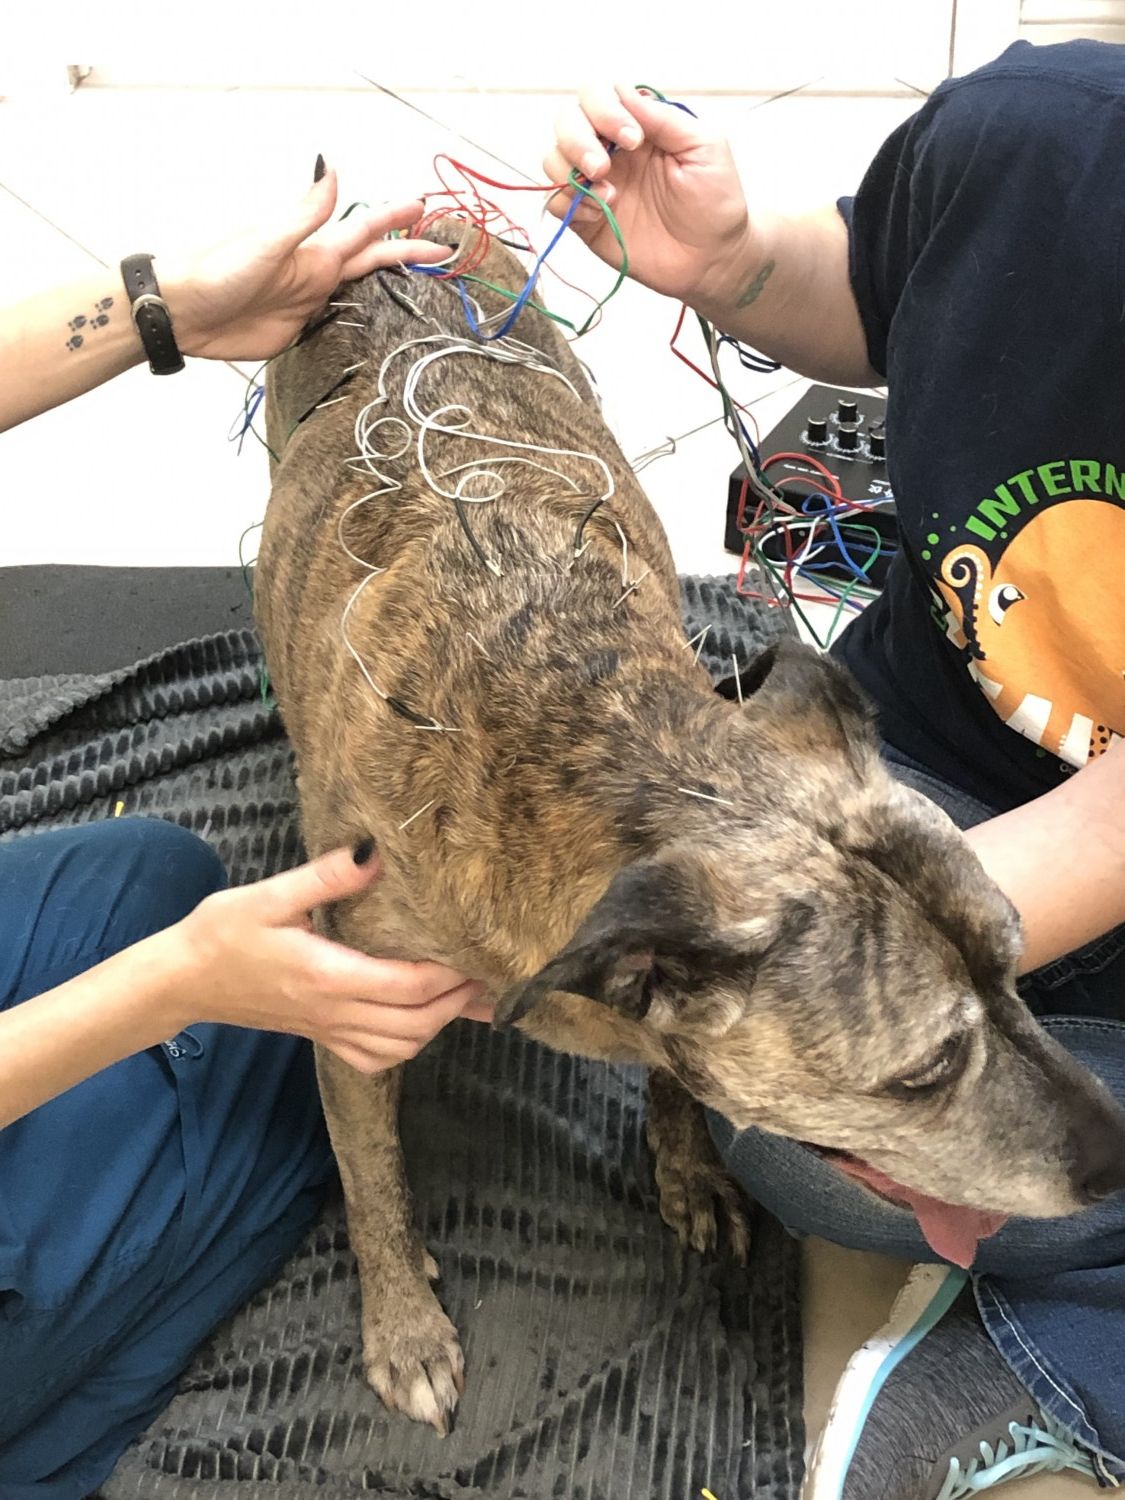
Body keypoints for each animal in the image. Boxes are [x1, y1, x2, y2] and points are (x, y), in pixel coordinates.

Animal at [259, 219, 1125, 1428]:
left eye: (1017, 967)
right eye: (924, 1073)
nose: (1121, 1162)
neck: (589, 736)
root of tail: (411, 247)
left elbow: (672, 1080)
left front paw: (689, 1167)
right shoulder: (351, 1023)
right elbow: (371, 1179)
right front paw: (404, 1324)